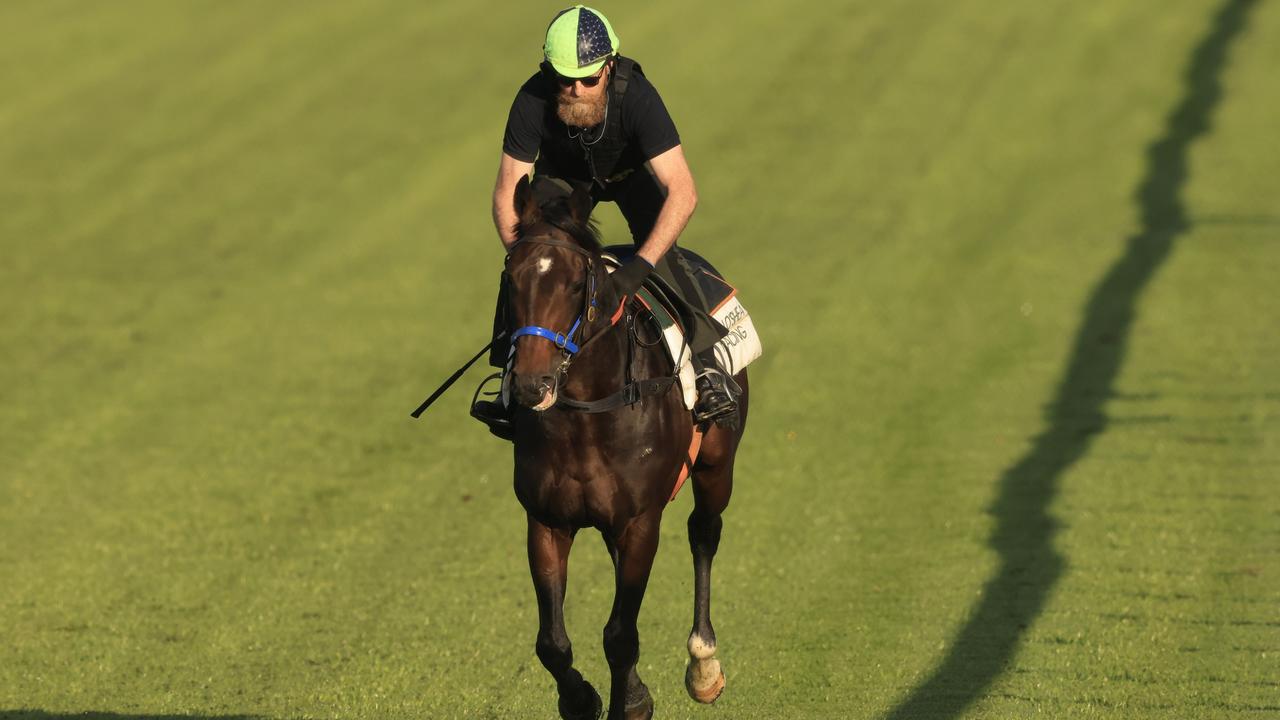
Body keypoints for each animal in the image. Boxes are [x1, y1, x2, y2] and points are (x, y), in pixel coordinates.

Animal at [496, 175, 747, 717]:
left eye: (575, 284)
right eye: (511, 281)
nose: (530, 384)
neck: (587, 418)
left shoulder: (639, 521)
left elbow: (619, 634)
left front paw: (629, 701)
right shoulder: (546, 520)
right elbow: (552, 643)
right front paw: (584, 697)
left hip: (717, 463)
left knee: (704, 532)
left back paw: (704, 664)